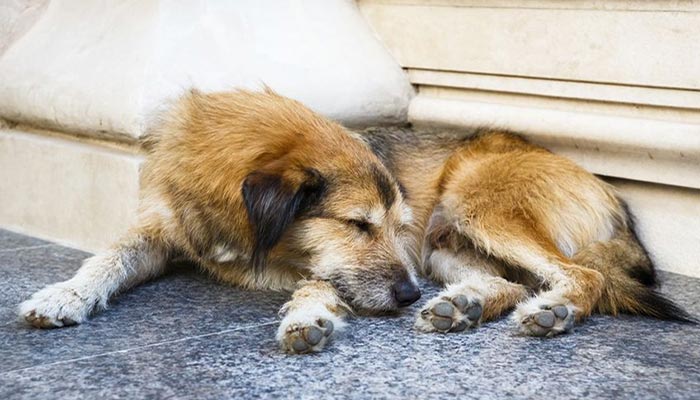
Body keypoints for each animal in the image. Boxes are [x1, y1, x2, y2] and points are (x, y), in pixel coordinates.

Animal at [19, 88, 692, 354]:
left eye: (390, 225)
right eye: (360, 224)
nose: (408, 294)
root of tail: (614, 198)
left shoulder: (327, 263)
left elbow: (319, 284)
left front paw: (309, 318)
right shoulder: (164, 229)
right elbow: (110, 255)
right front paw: (64, 294)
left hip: (474, 201)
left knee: (582, 277)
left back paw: (549, 312)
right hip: (445, 242)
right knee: (507, 281)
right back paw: (462, 305)